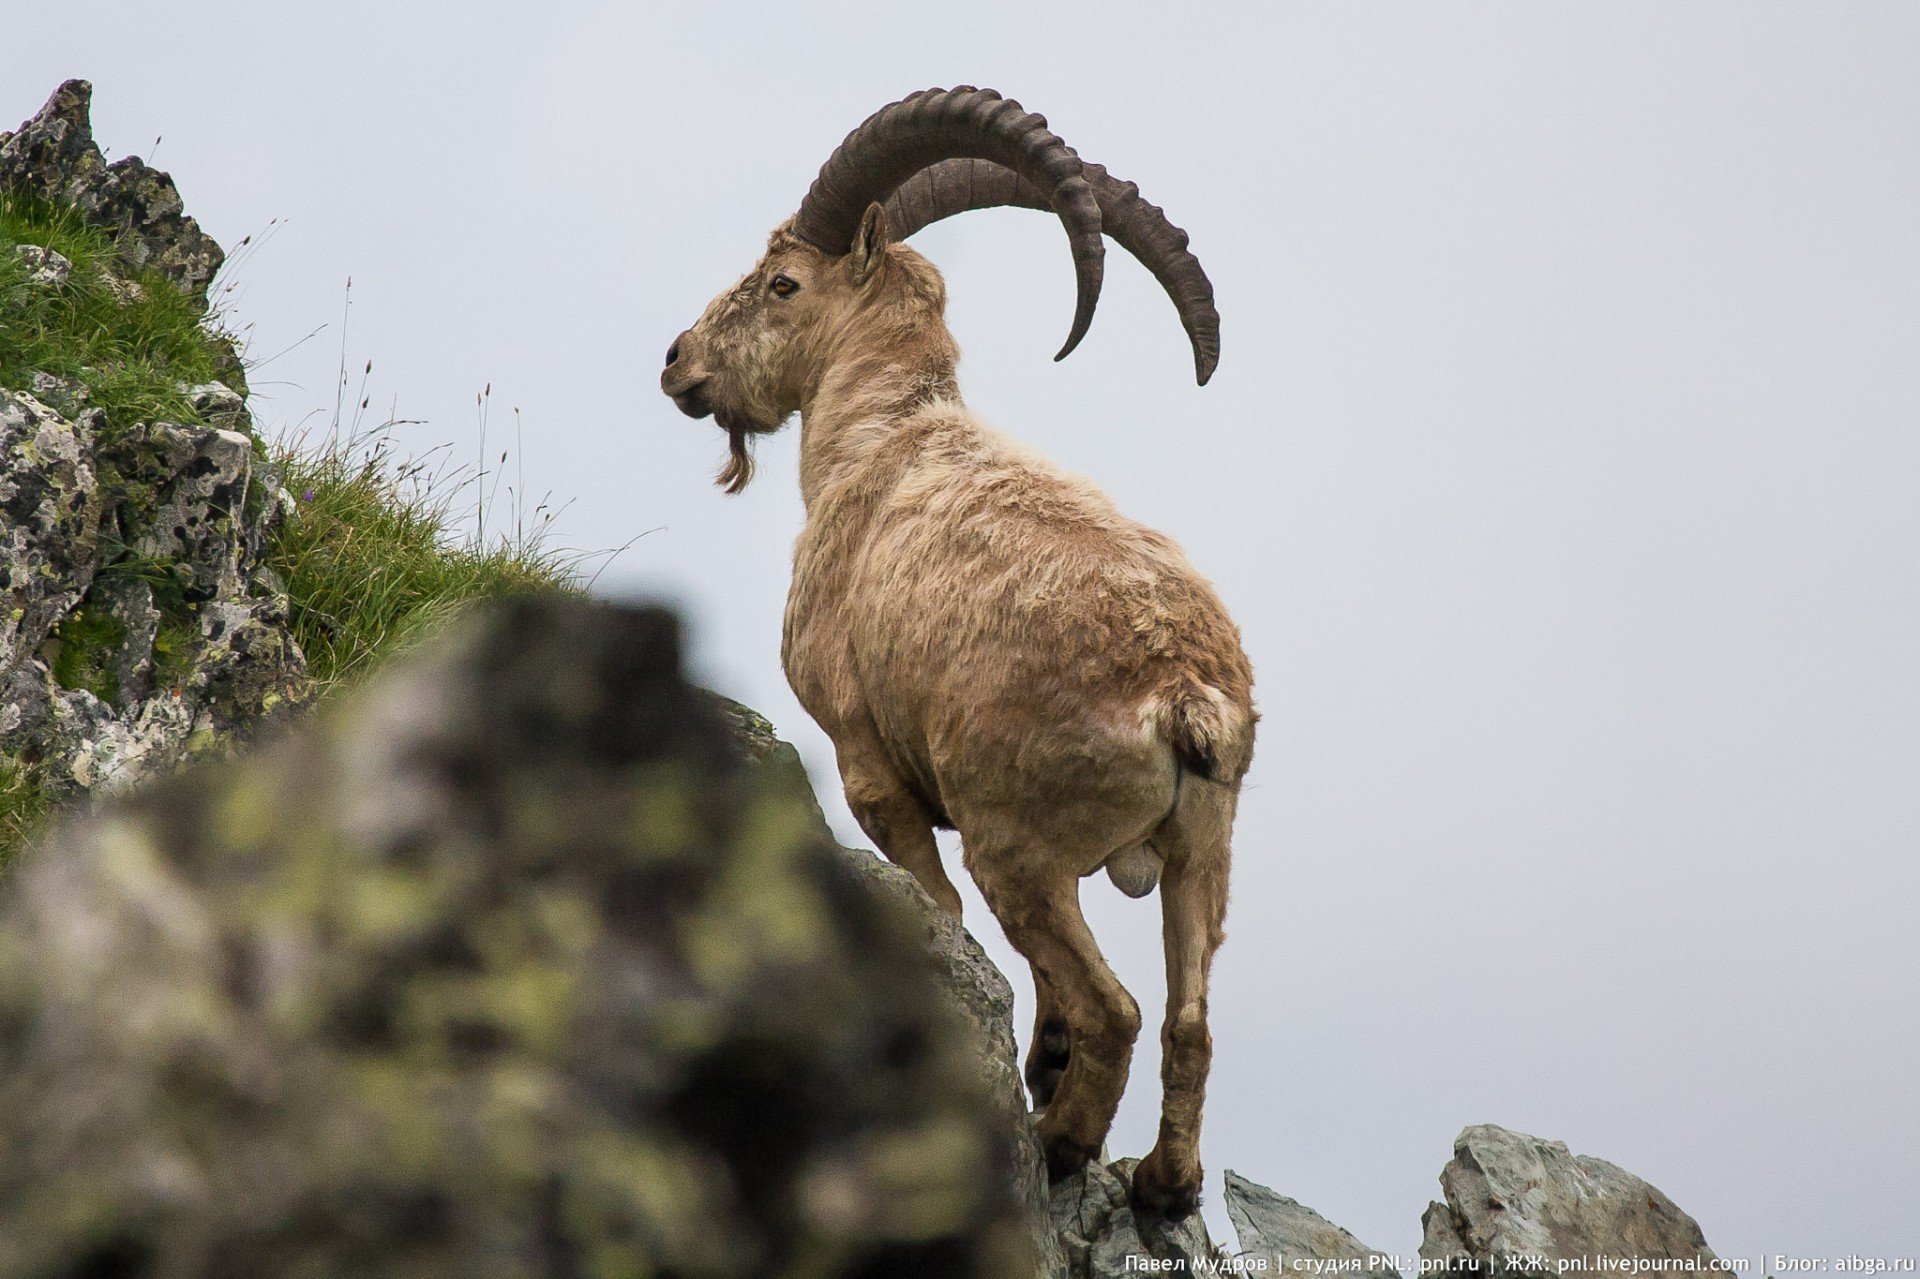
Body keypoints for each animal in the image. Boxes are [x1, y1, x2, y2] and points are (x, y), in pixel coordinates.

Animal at [664, 89, 1259, 1213]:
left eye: (782, 280)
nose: (678, 361)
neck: (879, 438)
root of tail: (1182, 693)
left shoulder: (870, 765)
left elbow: (937, 914)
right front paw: (1041, 1057)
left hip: (1014, 842)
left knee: (1117, 1006)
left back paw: (1063, 1144)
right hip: (1205, 848)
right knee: (1190, 1020)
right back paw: (1163, 1184)